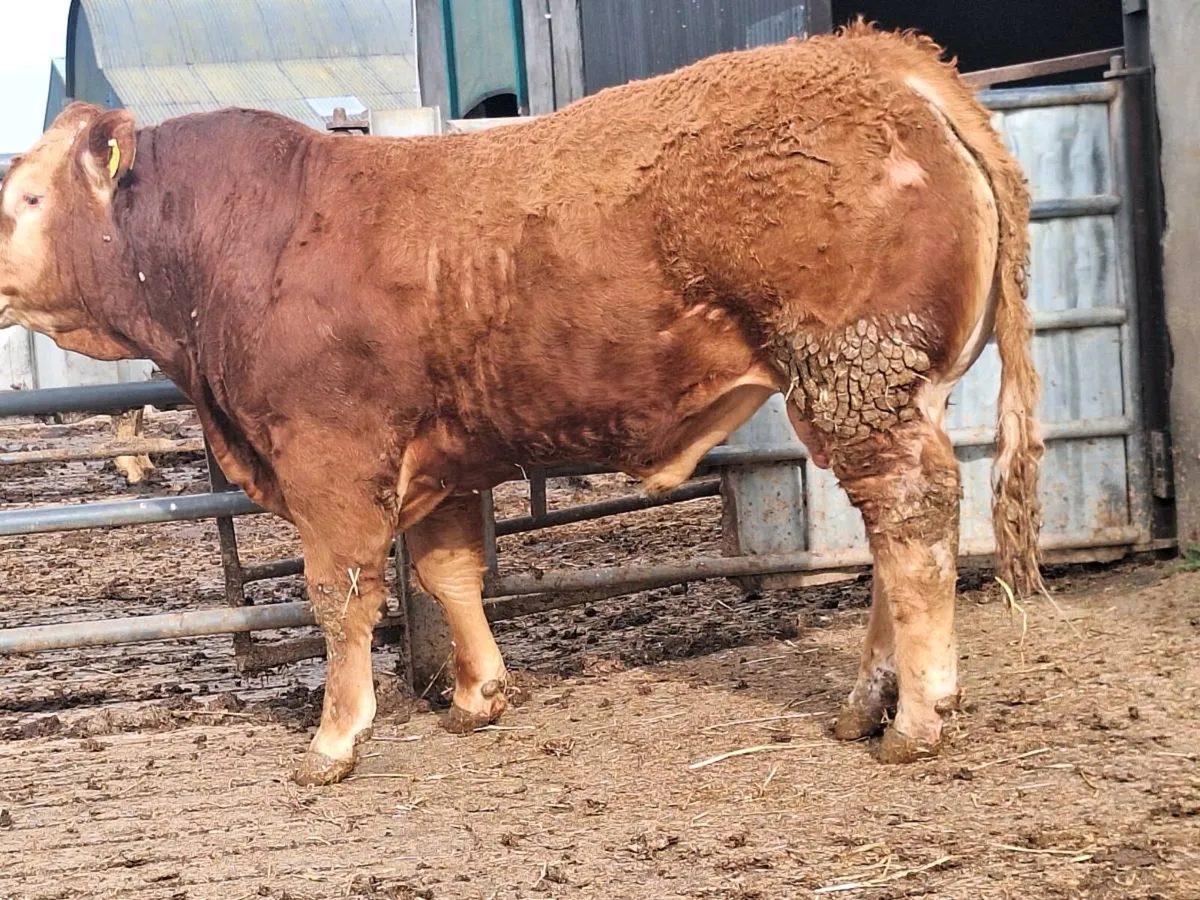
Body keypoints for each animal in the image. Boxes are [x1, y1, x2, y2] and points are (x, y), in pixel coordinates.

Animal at [0, 22, 1044, 786]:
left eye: (29, 198)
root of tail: (876, 55)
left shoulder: (331, 458)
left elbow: (341, 597)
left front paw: (333, 742)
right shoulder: (438, 459)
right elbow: (448, 574)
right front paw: (479, 697)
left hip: (852, 369)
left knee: (911, 518)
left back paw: (918, 715)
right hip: (880, 386)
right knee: (895, 530)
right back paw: (869, 701)